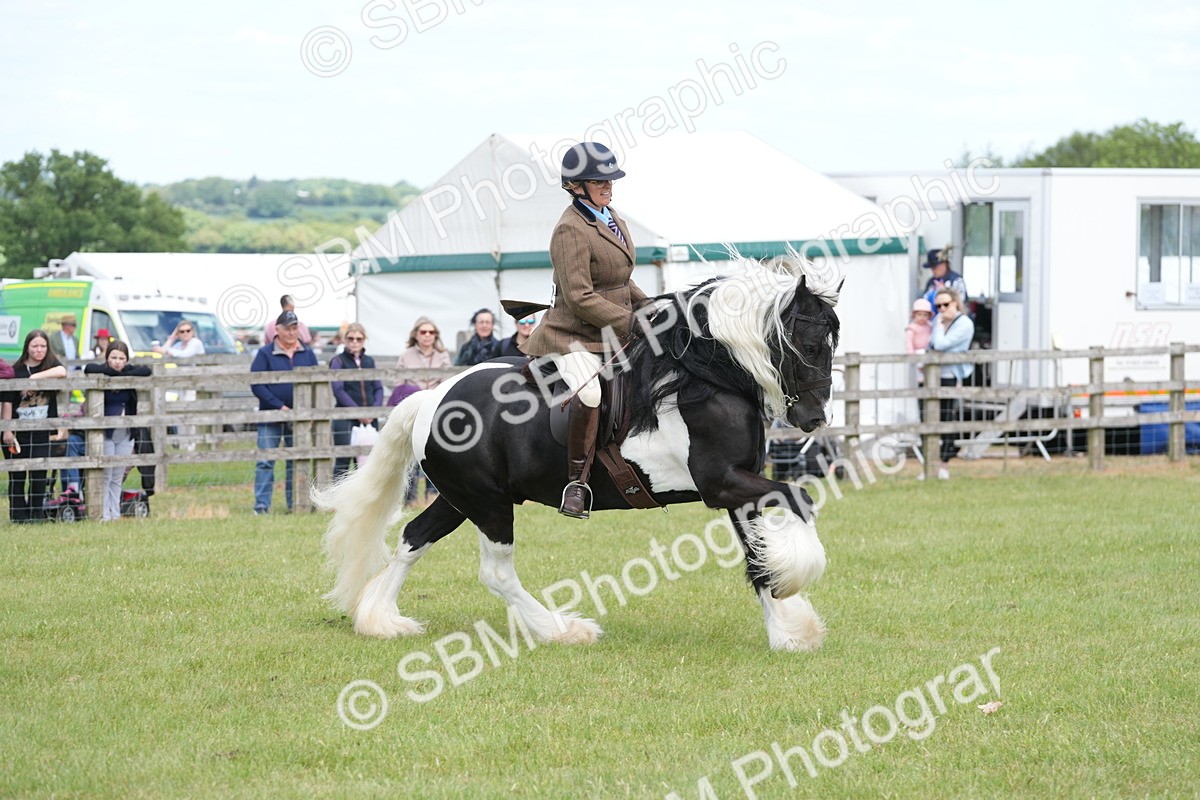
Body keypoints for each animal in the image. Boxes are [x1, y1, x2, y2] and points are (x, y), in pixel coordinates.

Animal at [316, 254, 841, 652]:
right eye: (810, 342)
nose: (815, 418)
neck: (702, 378)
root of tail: (433, 397)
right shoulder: (721, 483)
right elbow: (799, 500)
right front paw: (796, 582)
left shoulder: (741, 484)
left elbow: (756, 557)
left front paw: (788, 632)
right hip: (488, 503)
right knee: (496, 573)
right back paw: (562, 630)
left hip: (461, 498)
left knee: (413, 537)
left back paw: (381, 620)